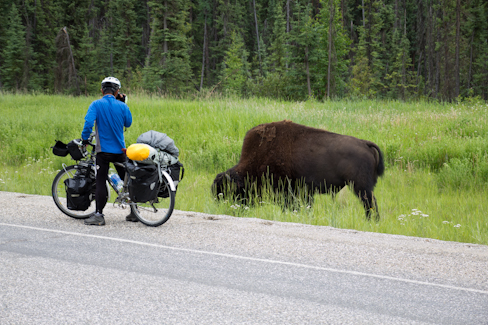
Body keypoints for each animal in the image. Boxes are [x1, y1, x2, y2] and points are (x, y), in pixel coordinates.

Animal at [213, 119, 386, 220]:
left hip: (360, 187)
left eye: (229, 191)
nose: (230, 210)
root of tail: (365, 144)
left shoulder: (287, 191)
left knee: (370, 204)